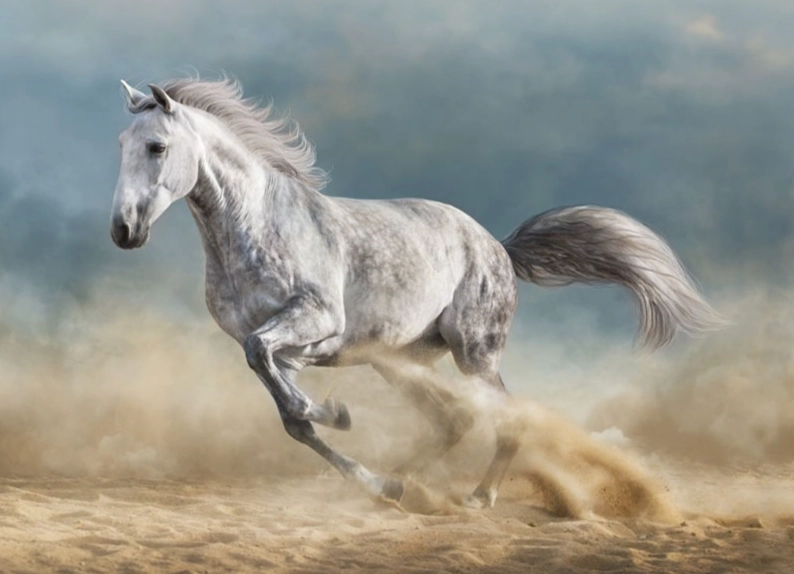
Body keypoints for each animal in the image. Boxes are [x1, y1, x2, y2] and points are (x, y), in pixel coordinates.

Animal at [110, 78, 722, 508]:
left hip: (474, 354)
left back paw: (479, 496)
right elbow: (287, 409)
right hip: (398, 360)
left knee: (506, 417)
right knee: (452, 421)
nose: (123, 230)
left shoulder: (314, 321)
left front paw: (335, 413)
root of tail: (498, 248)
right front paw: (358, 456)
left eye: (157, 147)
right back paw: (402, 483)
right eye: (121, 145)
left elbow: (277, 375)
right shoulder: (283, 346)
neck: (255, 226)